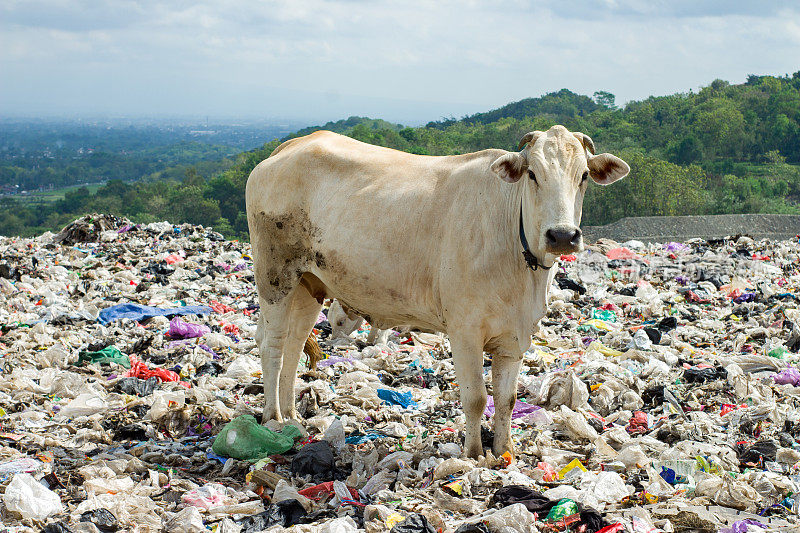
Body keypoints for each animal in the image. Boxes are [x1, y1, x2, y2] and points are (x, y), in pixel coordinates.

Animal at [247, 124, 628, 458]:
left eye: (583, 176)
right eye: (532, 174)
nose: (562, 235)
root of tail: (290, 147)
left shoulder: (515, 336)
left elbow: (507, 400)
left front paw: (505, 452)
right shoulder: (465, 331)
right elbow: (476, 398)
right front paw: (474, 454)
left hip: (308, 283)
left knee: (295, 345)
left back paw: (292, 416)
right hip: (274, 277)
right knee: (272, 346)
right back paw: (273, 418)